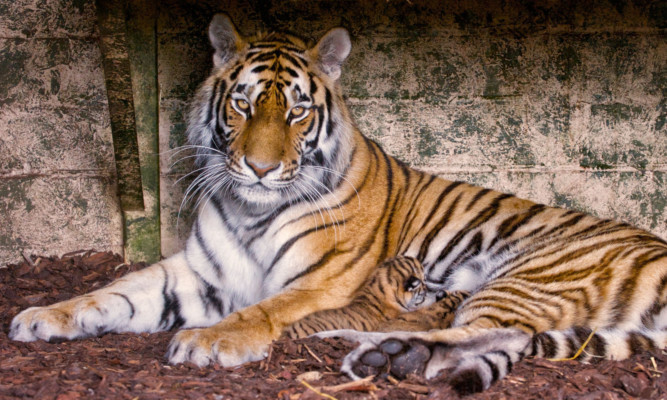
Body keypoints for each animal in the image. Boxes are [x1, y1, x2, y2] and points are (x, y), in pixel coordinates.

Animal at [9, 14, 667, 396]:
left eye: (297, 111)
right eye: (243, 105)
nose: (261, 167)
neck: (251, 210)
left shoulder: (323, 281)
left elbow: (263, 310)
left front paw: (210, 341)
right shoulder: (197, 272)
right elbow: (112, 293)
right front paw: (42, 316)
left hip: (526, 277)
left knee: (489, 338)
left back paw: (382, 353)